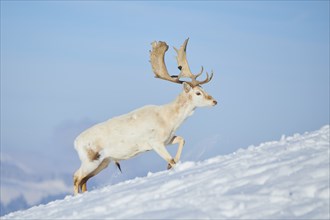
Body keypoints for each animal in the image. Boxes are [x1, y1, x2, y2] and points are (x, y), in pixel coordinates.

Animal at [73, 37, 217, 194]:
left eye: (204, 89)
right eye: (198, 93)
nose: (214, 101)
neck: (168, 120)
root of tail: (75, 143)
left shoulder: (167, 139)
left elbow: (182, 140)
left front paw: (170, 166)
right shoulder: (155, 142)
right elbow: (171, 159)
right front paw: (171, 166)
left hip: (104, 162)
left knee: (84, 180)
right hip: (91, 159)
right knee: (77, 177)